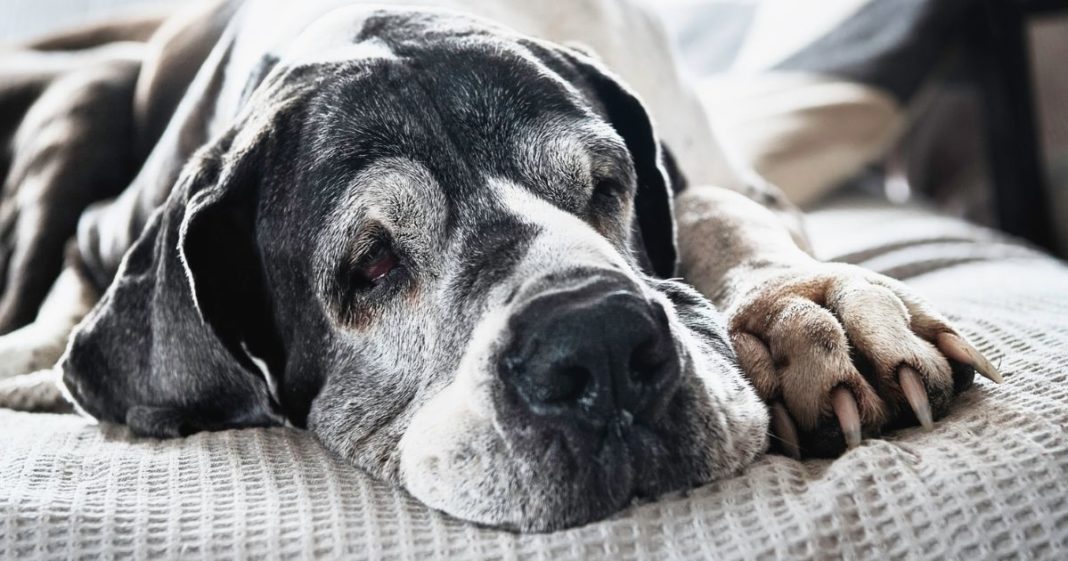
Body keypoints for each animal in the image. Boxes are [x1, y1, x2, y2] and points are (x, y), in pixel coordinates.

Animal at [0, 0, 999, 530]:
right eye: (370, 264)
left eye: (605, 185)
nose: (599, 348)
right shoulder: (110, 225)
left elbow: (717, 207)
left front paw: (811, 308)